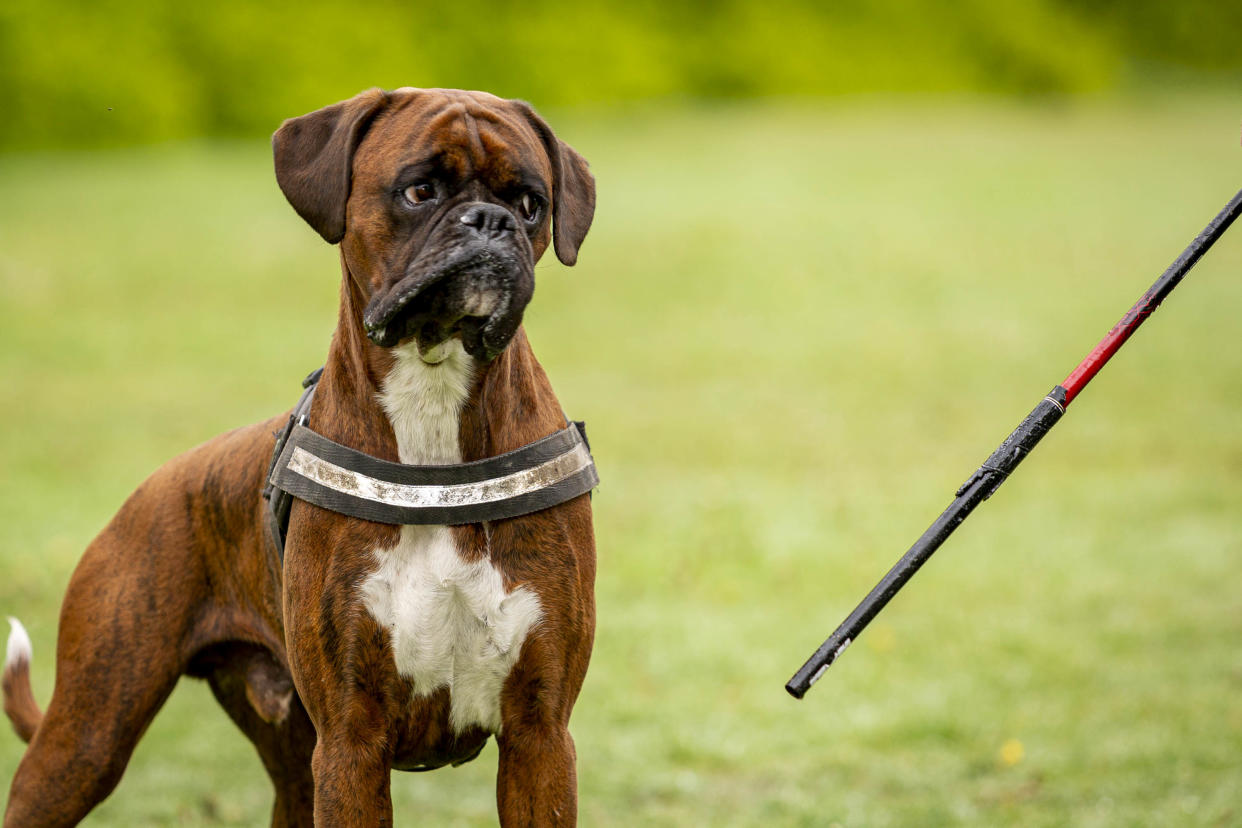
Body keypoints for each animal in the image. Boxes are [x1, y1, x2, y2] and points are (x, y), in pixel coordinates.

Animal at [1, 87, 596, 824]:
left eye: (531, 204)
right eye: (420, 190)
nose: (491, 222)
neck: (432, 394)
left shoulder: (539, 736)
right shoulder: (350, 742)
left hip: (286, 765)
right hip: (86, 738)